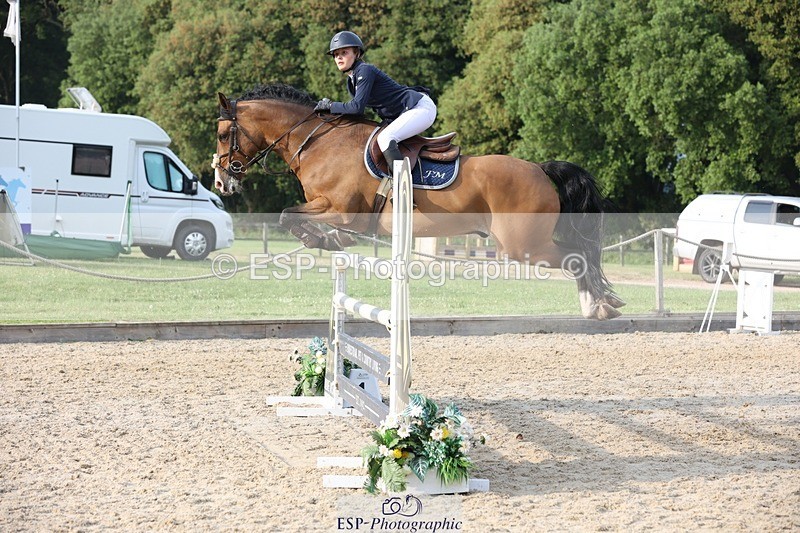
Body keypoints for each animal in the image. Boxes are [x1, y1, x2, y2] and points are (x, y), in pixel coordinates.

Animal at [212, 84, 624, 319]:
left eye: (221, 133)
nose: (221, 181)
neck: (316, 141)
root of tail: (539, 168)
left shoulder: (342, 210)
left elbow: (287, 216)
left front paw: (324, 240)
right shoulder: (332, 210)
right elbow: (294, 219)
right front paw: (330, 241)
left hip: (523, 246)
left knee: (578, 255)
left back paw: (600, 305)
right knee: (579, 256)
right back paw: (598, 305)